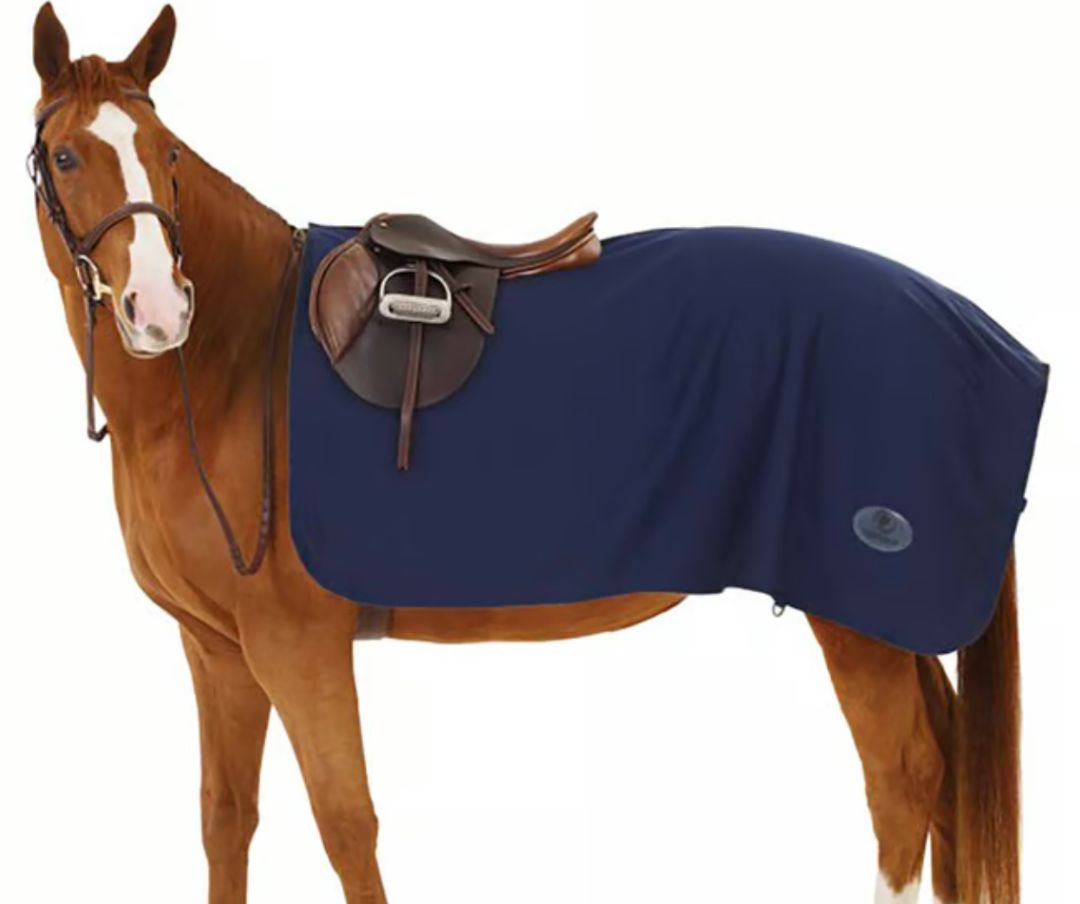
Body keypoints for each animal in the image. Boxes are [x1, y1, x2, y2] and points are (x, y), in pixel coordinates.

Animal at [29, 5, 1021, 903]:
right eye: (68, 158)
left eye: (167, 155)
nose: (160, 311)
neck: (236, 359)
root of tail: (971, 328)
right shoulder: (218, 650)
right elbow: (226, 819)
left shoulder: (296, 646)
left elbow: (347, 826)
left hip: (860, 623)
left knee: (903, 778)